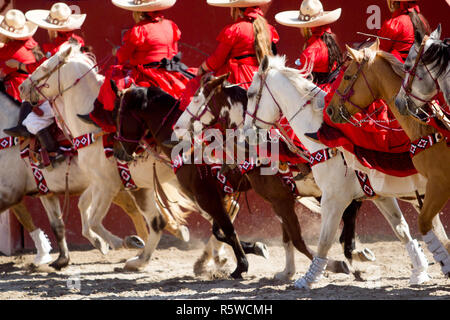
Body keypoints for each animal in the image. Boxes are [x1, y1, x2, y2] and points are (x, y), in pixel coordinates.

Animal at [18, 43, 239, 276]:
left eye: (45, 67)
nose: (22, 87)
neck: (93, 128)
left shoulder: (108, 186)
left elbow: (94, 220)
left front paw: (124, 242)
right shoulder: (111, 183)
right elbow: (85, 210)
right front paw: (112, 247)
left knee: (225, 210)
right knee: (224, 211)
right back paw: (211, 258)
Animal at [174, 73, 378, 278]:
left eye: (196, 99)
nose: (177, 127)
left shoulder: (280, 201)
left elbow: (297, 240)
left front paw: (333, 265)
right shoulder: (279, 202)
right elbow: (287, 239)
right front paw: (288, 271)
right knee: (350, 215)